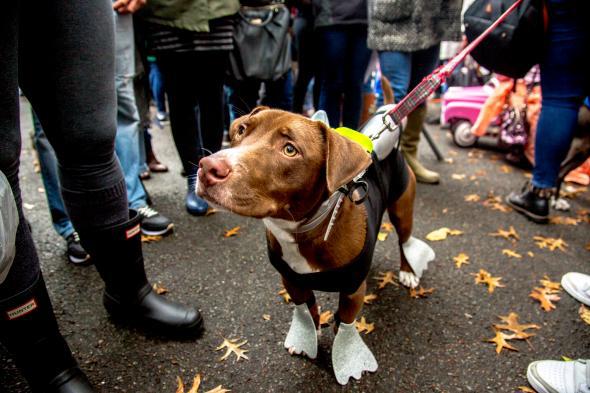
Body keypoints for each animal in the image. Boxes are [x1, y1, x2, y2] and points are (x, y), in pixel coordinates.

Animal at [198, 106, 434, 382]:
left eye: (290, 149)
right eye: (241, 129)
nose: (207, 166)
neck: (302, 231)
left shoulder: (353, 289)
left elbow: (346, 322)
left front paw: (345, 353)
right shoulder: (291, 279)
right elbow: (306, 307)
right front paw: (309, 334)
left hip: (402, 207)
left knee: (405, 239)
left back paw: (408, 271)